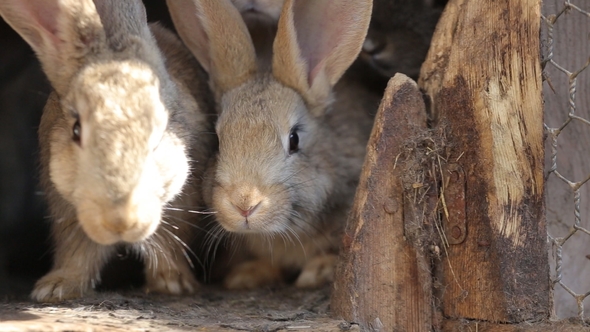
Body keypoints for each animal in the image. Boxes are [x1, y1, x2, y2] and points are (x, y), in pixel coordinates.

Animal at [0, 0, 215, 302]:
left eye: (159, 131)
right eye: (76, 130)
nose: (120, 221)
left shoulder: (181, 206)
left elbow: (170, 244)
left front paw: (174, 284)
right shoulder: (66, 212)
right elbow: (78, 251)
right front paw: (55, 288)